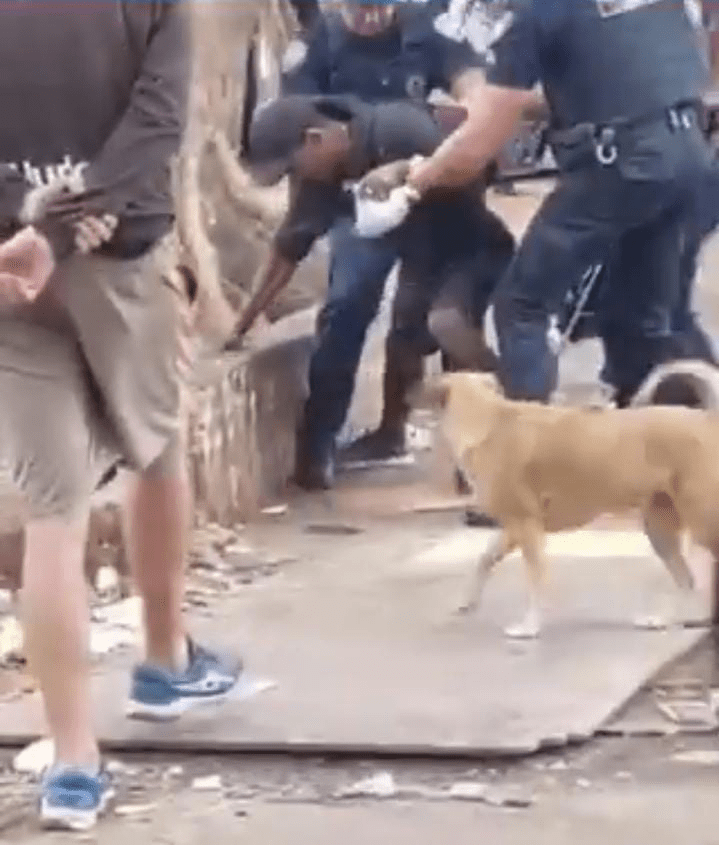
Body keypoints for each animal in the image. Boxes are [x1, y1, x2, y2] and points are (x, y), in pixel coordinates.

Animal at [420, 372, 719, 636]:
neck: (489, 419)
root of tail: (707, 419)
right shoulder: (515, 527)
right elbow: (485, 559)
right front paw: (467, 601)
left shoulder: (526, 527)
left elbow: (536, 578)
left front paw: (529, 627)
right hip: (659, 529)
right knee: (686, 579)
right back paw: (661, 620)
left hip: (702, 520)